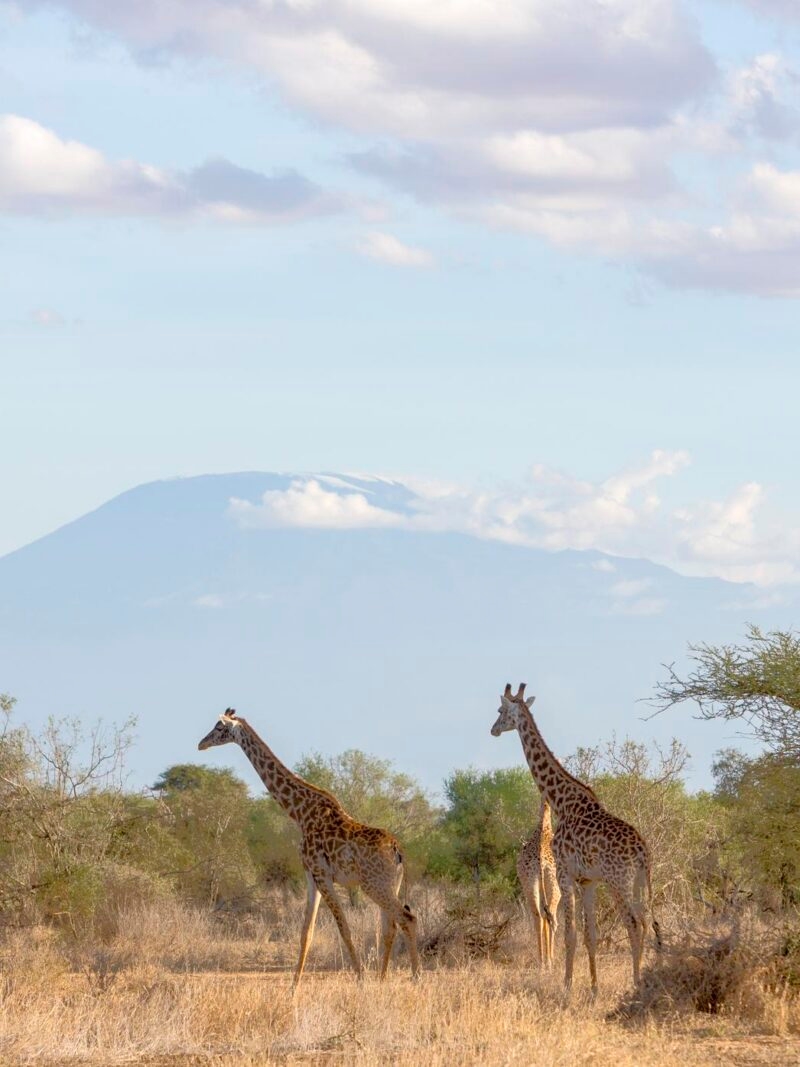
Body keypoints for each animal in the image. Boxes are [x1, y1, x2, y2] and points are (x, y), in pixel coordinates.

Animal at [198, 708, 420, 990]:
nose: (201, 744)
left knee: (407, 919)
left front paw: (360, 980)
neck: (300, 812)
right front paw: (293, 989)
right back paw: (383, 981)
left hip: (374, 885)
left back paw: (416, 978)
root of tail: (397, 851)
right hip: (390, 884)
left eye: (219, 727)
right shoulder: (310, 875)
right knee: (390, 926)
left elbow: (343, 927)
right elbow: (307, 932)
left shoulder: (322, 874)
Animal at [517, 796, 560, 968]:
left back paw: (542, 961)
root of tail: (541, 861)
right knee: (552, 919)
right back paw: (550, 960)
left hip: (529, 886)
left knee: (538, 918)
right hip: (554, 887)